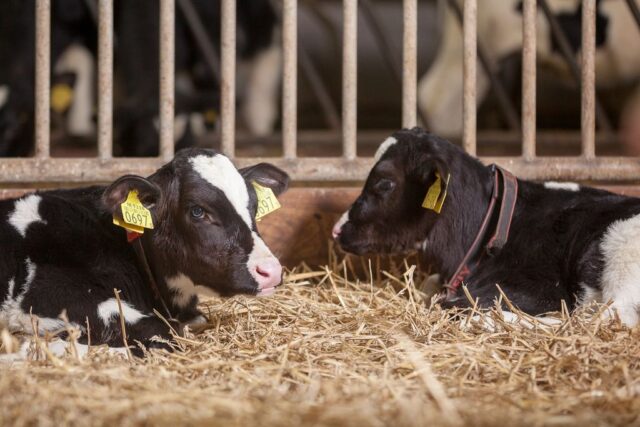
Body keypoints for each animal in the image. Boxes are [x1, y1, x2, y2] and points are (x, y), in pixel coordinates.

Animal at [332, 128, 640, 327]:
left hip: (622, 256)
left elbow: (448, 304)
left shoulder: (539, 292)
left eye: (384, 183)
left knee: (599, 320)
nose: (337, 230)